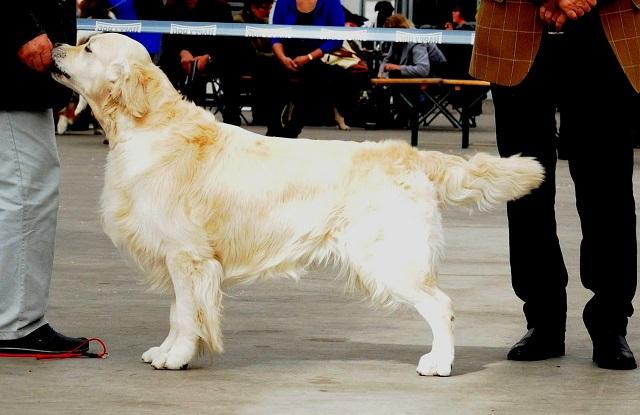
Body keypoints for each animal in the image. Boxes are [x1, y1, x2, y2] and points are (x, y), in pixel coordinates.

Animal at [50, 33, 544, 376]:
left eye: (89, 47)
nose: (55, 46)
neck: (149, 126)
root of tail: (409, 154)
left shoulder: (187, 255)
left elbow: (189, 315)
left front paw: (177, 357)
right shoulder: (180, 258)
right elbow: (178, 312)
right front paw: (167, 351)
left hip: (389, 257)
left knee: (441, 306)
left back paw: (438, 363)